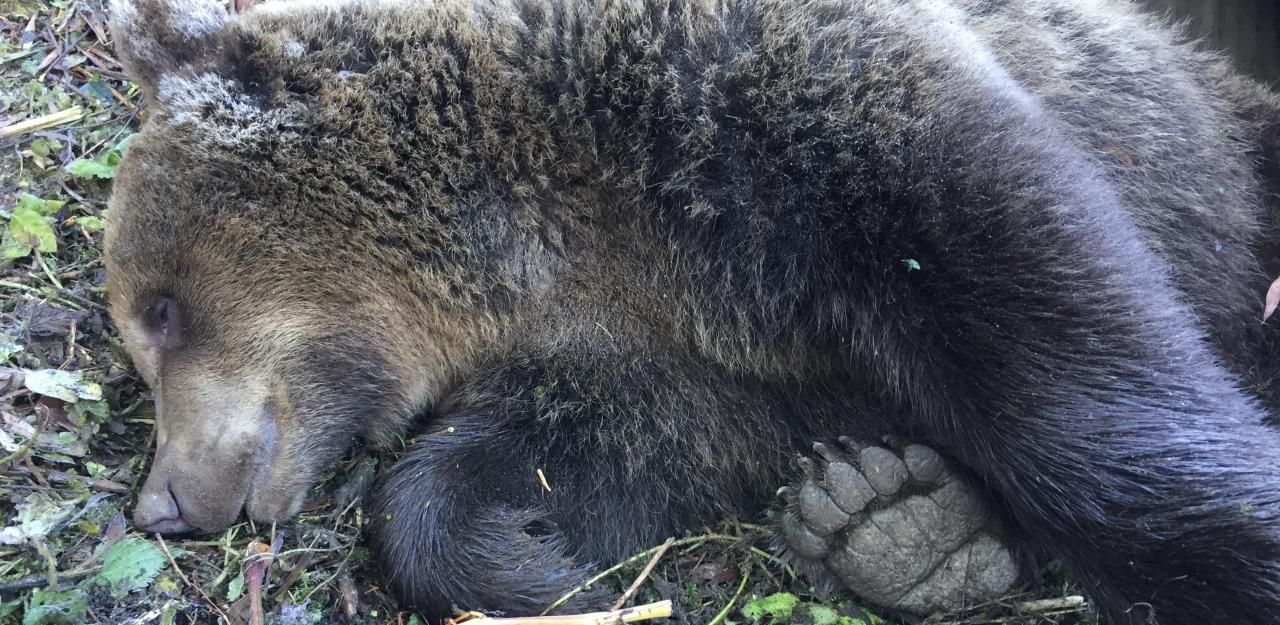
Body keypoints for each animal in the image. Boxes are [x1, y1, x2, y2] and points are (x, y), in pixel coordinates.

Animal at [101, 0, 1280, 624]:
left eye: (160, 310)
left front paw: (1235, 537)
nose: (163, 501)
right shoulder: (648, 355)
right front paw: (528, 560)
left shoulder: (773, 116)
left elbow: (1040, 317)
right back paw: (893, 520)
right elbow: (601, 454)